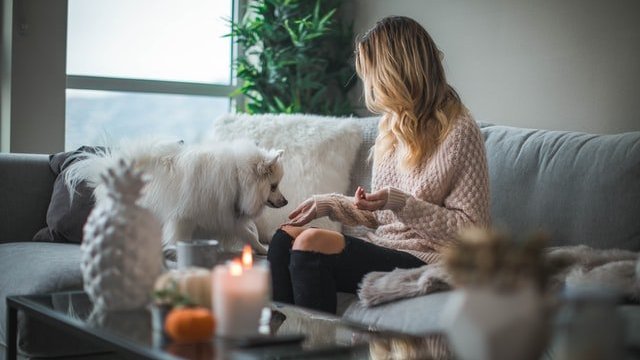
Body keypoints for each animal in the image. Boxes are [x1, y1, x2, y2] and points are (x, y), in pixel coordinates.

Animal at [63, 136, 286, 255]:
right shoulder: (185, 217)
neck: (237, 177)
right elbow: (180, 237)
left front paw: (263, 250)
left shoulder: (226, 215)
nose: (286, 201)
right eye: (273, 186)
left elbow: (249, 234)